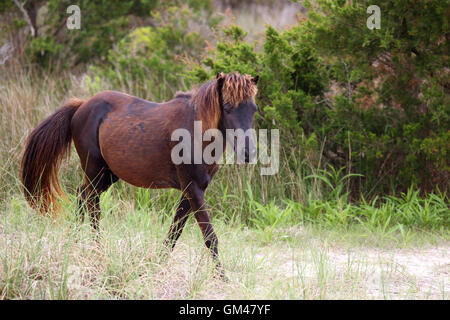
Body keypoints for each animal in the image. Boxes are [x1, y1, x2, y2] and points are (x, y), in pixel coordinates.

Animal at [20, 72, 260, 272]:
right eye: (227, 106)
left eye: (254, 109)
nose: (248, 153)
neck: (196, 130)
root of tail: (81, 106)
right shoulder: (193, 189)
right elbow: (210, 237)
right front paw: (223, 279)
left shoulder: (192, 190)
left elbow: (174, 233)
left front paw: (156, 265)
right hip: (94, 170)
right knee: (91, 204)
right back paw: (97, 250)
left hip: (107, 175)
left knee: (82, 196)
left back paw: (76, 242)